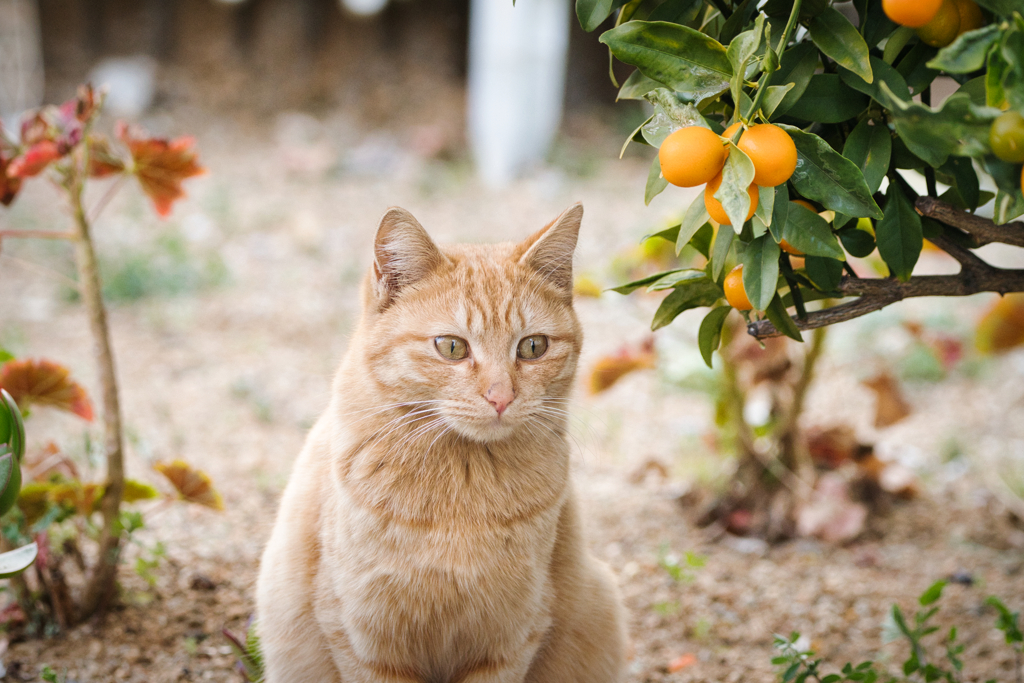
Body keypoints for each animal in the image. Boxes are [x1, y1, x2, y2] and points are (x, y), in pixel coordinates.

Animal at [254, 204, 622, 683]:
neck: (462, 481)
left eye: (533, 347)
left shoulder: (510, 639)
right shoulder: (364, 639)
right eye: (451, 347)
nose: (501, 397)